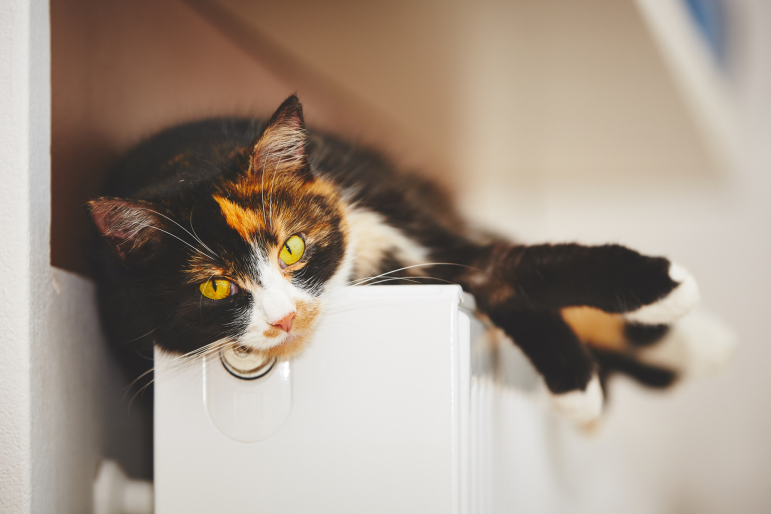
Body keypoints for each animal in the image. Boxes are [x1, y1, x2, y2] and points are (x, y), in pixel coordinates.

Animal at [89, 94, 716, 422]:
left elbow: (516, 265)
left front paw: (664, 289)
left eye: (292, 246)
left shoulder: (392, 205)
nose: (284, 318)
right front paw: (579, 387)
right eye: (215, 287)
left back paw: (700, 339)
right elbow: (502, 282)